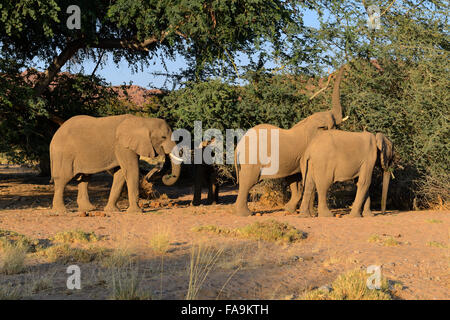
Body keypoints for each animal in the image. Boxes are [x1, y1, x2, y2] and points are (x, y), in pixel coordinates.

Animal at [49, 114, 183, 214]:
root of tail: (55, 134)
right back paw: (61, 211)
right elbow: (131, 170)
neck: (143, 120)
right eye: (163, 137)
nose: (165, 176)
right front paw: (136, 212)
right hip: (63, 154)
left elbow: (120, 174)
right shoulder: (123, 146)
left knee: (85, 178)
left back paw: (89, 209)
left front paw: (113, 211)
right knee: (63, 178)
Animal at [234, 67, 346, 218]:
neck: (310, 123)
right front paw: (310, 214)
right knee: (248, 181)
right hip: (252, 159)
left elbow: (295, 180)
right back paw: (245, 214)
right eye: (333, 122)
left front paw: (290, 210)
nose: (342, 67)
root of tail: (238, 146)